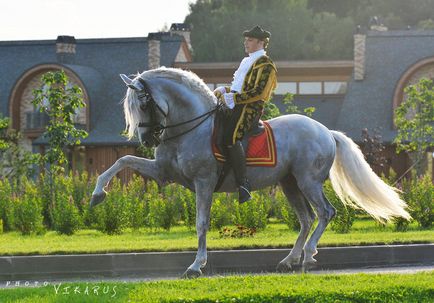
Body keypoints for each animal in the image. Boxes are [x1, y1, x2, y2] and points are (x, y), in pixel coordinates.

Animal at [90, 67, 410, 280]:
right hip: (289, 183)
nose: (147, 139)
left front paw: (196, 265)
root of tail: (326, 131)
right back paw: (290, 260)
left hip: (308, 181)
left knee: (325, 213)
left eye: (144, 103)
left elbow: (201, 223)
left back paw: (308, 257)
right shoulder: (164, 172)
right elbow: (121, 162)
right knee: (306, 219)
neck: (191, 127)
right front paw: (97, 195)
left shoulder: (204, 181)